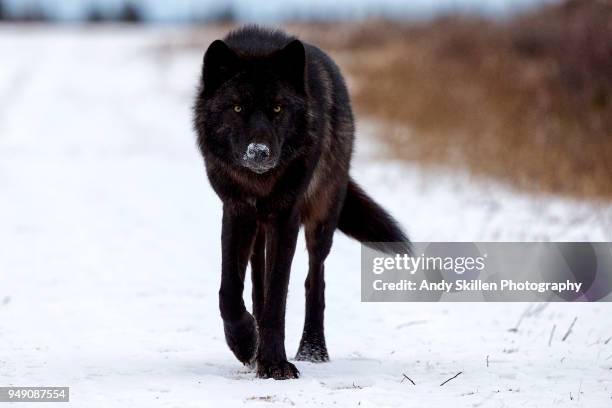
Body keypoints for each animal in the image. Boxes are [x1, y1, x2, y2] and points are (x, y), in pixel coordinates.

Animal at [194, 27, 408, 380]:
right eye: (237, 108)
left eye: (278, 109)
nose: (258, 153)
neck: (260, 182)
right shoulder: (237, 211)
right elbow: (230, 291)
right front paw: (245, 342)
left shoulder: (286, 218)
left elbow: (278, 297)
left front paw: (274, 363)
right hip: (260, 229)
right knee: (257, 283)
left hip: (321, 221)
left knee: (314, 281)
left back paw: (313, 350)